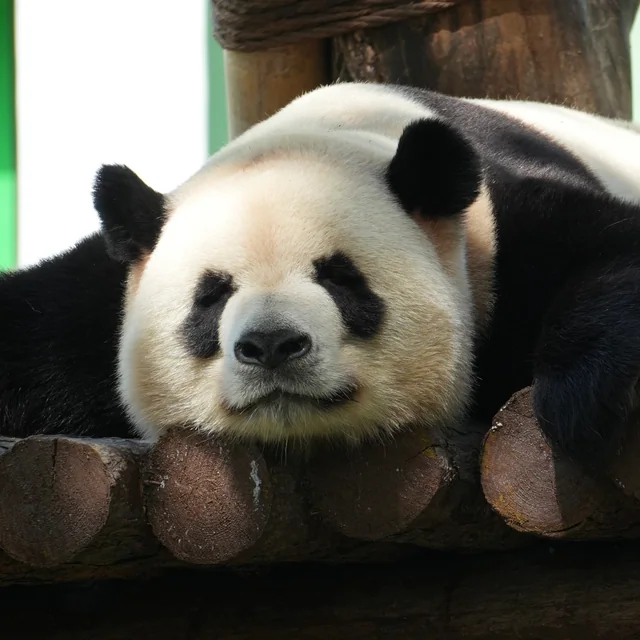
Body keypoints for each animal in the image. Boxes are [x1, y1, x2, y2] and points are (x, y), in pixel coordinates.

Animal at [5, 81, 640, 473]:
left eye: (340, 277)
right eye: (212, 295)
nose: (271, 345)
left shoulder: (495, 230)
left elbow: (605, 246)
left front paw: (579, 399)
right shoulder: (93, 303)